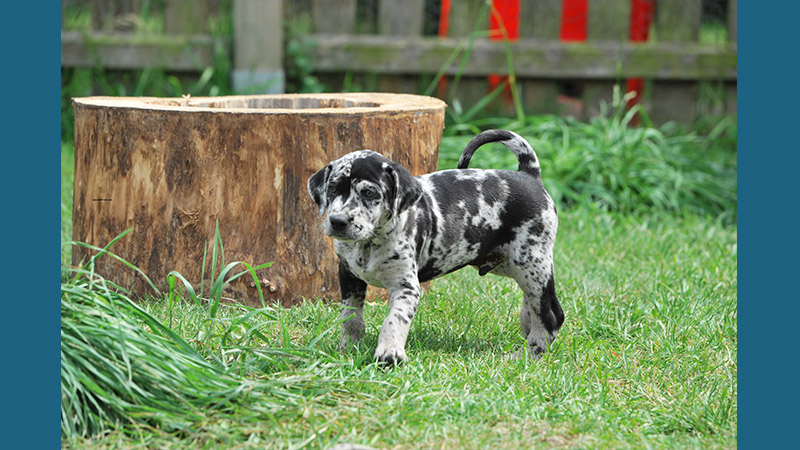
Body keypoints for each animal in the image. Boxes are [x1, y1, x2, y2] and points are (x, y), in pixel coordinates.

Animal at [306, 128, 564, 364]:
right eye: (332, 189)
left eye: (369, 193)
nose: (338, 221)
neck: (370, 243)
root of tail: (529, 175)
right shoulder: (349, 275)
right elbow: (350, 317)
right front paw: (348, 348)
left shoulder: (405, 286)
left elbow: (394, 319)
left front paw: (389, 352)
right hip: (514, 266)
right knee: (535, 305)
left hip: (531, 262)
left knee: (552, 315)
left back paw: (527, 355)